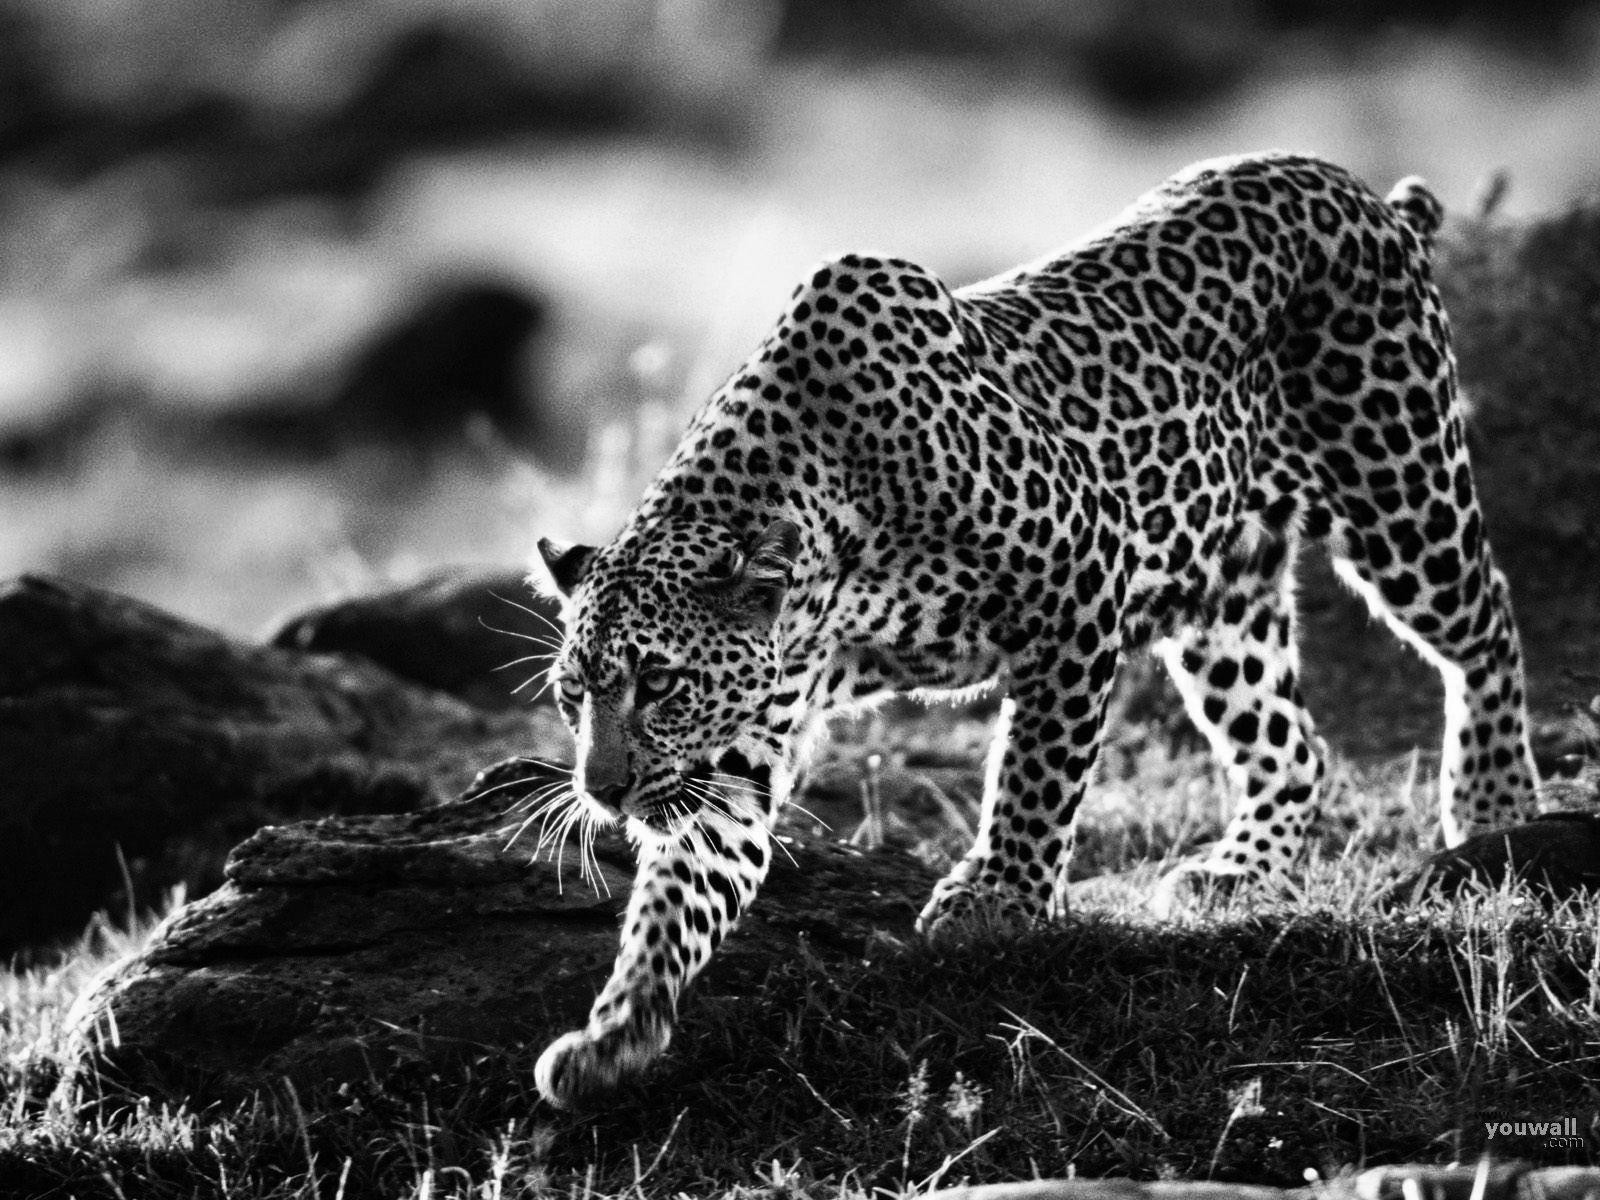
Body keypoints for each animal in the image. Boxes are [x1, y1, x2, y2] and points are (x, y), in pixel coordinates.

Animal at [528, 150, 1539, 1109]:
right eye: (573, 695)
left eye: (659, 684)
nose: (602, 792)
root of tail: (1360, 191)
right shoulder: (743, 745)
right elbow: (686, 890)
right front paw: (615, 1032)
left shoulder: (1081, 580)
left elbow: (1035, 770)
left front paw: (1001, 897)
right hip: (1223, 593)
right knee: (1290, 743)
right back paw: (1238, 872)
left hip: (1402, 496)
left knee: (1487, 621)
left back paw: (1494, 805)